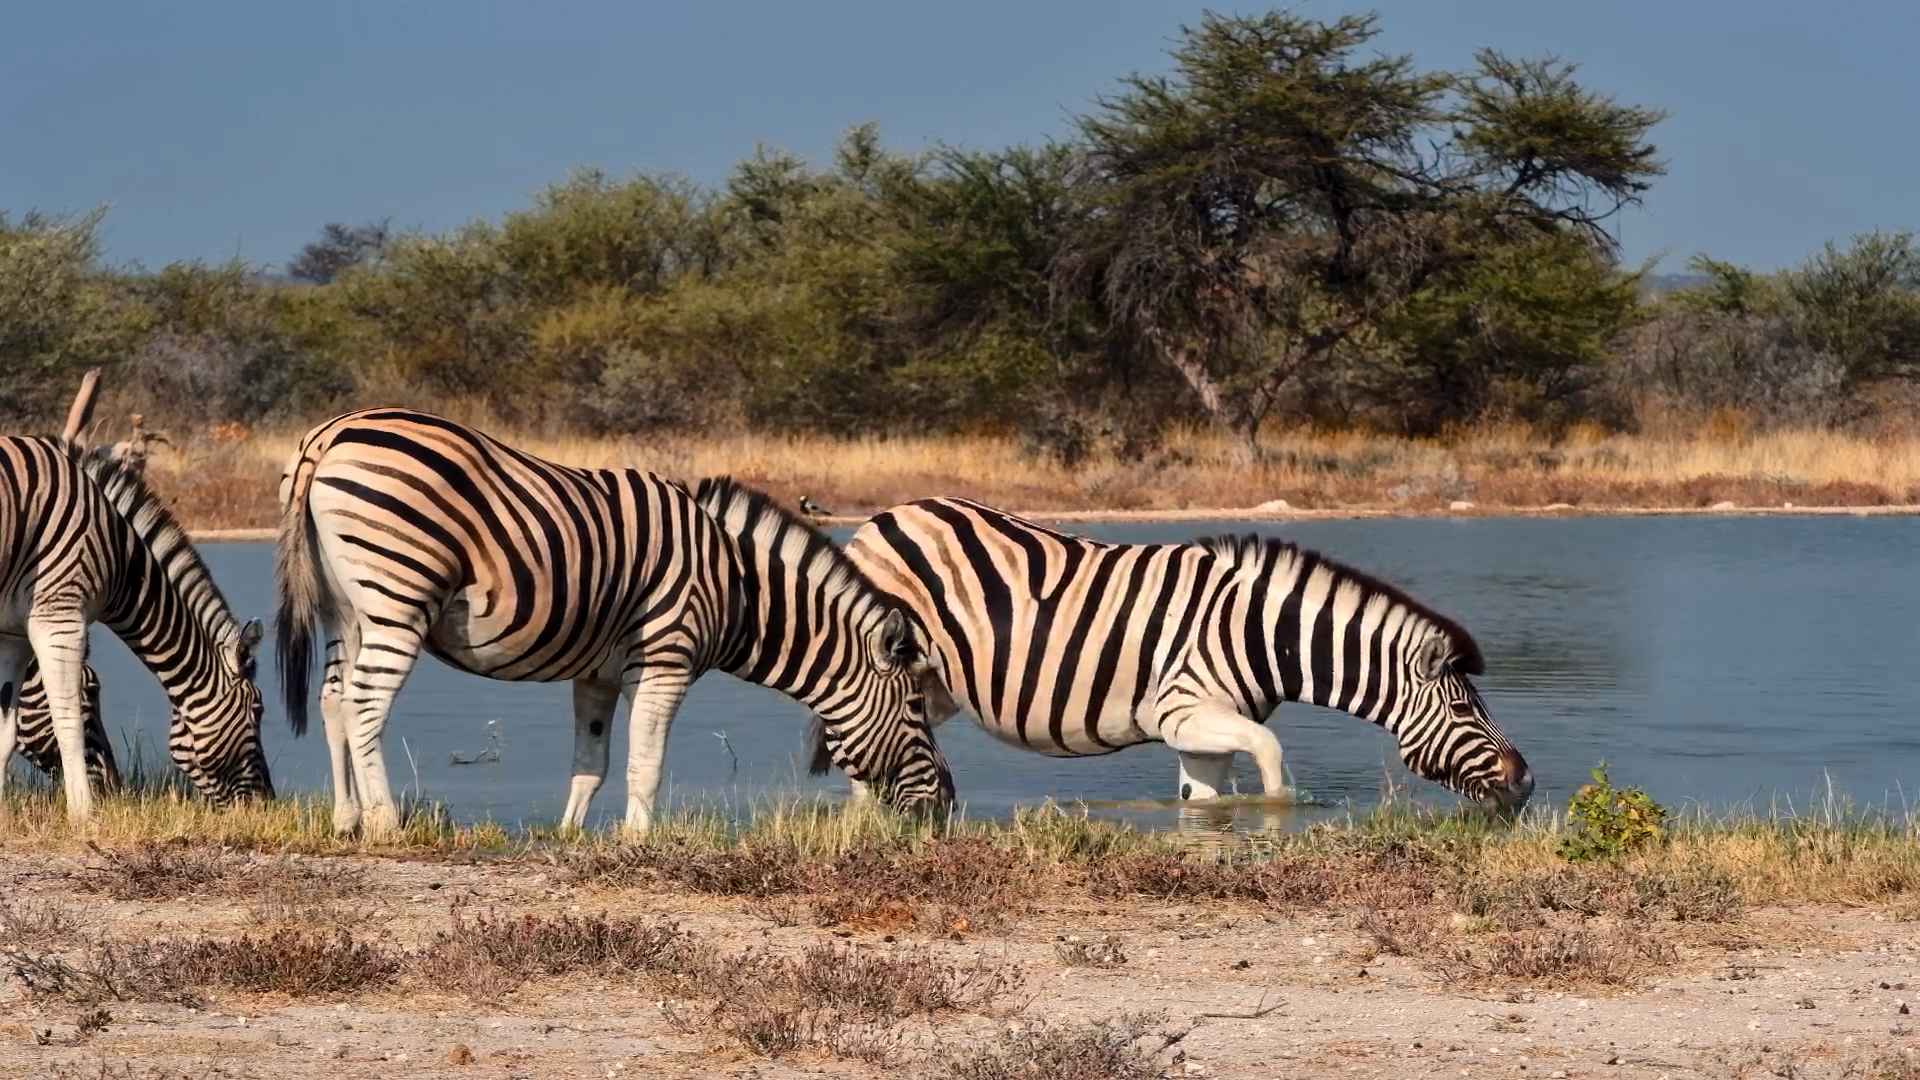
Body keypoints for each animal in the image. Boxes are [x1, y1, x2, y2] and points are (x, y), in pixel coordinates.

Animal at [0, 438, 270, 824]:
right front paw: (84, 816)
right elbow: (68, 721)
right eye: (258, 710)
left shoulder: (14, 635)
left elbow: (7, 728)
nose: (267, 804)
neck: (121, 557)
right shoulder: (59, 614)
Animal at [274, 409, 953, 839]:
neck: (737, 587)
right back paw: (385, 822)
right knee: (365, 703)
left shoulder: (597, 674)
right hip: (397, 597)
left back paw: (345, 819)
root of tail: (331, 434)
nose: (946, 807)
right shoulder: (665, 663)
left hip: (344, 609)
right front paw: (638, 841)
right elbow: (644, 763)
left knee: (333, 699)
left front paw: (571, 836)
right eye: (918, 709)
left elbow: (591, 760)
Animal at [818, 497, 1533, 811]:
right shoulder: (1183, 710)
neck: (1258, 631)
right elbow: (1273, 760)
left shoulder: (1201, 739)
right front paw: (1278, 819)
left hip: (934, 688)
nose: (1525, 784)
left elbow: (1204, 803)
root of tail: (883, 515)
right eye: (1466, 711)